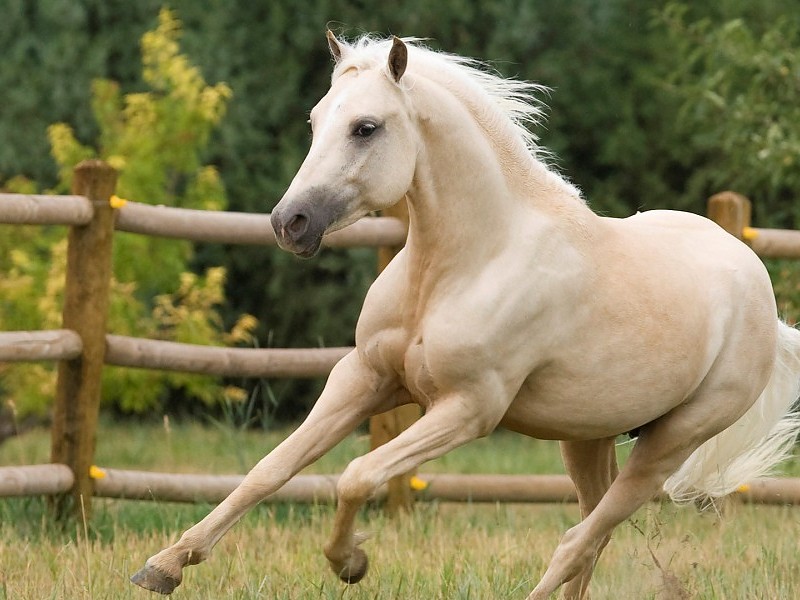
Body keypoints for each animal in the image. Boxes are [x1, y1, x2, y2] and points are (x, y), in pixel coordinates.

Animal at [132, 32, 800, 599]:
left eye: (366, 127)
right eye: (317, 120)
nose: (289, 223)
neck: (462, 265)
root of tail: (761, 296)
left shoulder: (468, 409)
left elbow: (357, 475)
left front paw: (350, 563)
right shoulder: (363, 377)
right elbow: (269, 469)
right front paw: (164, 566)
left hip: (670, 441)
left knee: (575, 541)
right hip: (587, 436)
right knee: (592, 537)